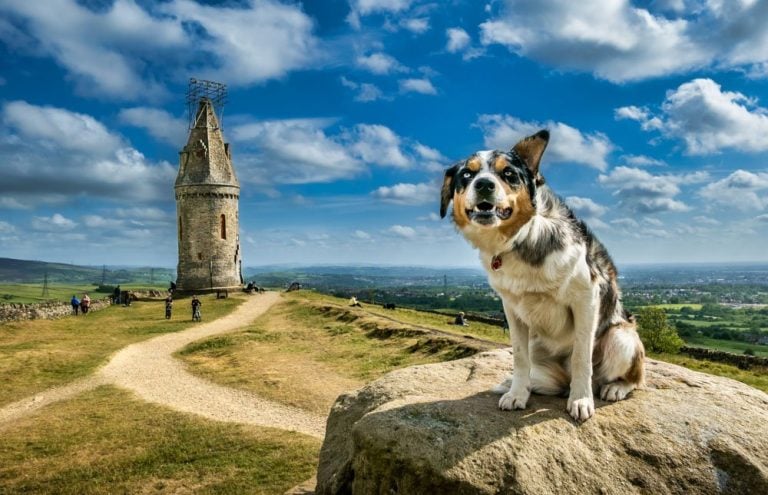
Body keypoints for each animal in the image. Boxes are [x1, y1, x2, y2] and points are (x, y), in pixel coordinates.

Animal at [440, 130, 644, 420]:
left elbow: (581, 356)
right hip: (540, 349)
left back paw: (613, 388)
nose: (484, 185)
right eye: (467, 175)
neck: (519, 239)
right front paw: (517, 394)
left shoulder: (586, 298)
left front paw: (581, 400)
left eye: (509, 174)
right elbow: (518, 357)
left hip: (621, 338)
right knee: (548, 379)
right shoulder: (511, 308)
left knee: (633, 377)